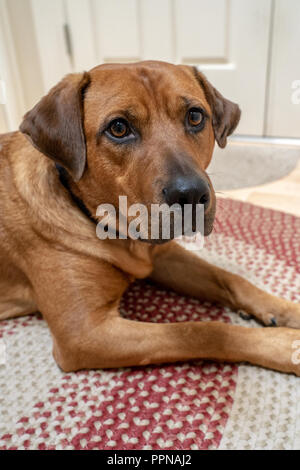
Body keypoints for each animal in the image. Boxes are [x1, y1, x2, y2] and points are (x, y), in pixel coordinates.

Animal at [0, 60, 300, 374]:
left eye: (195, 116)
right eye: (119, 128)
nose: (192, 195)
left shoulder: (162, 257)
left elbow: (231, 279)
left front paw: (286, 310)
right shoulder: (84, 333)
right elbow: (201, 331)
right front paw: (286, 345)